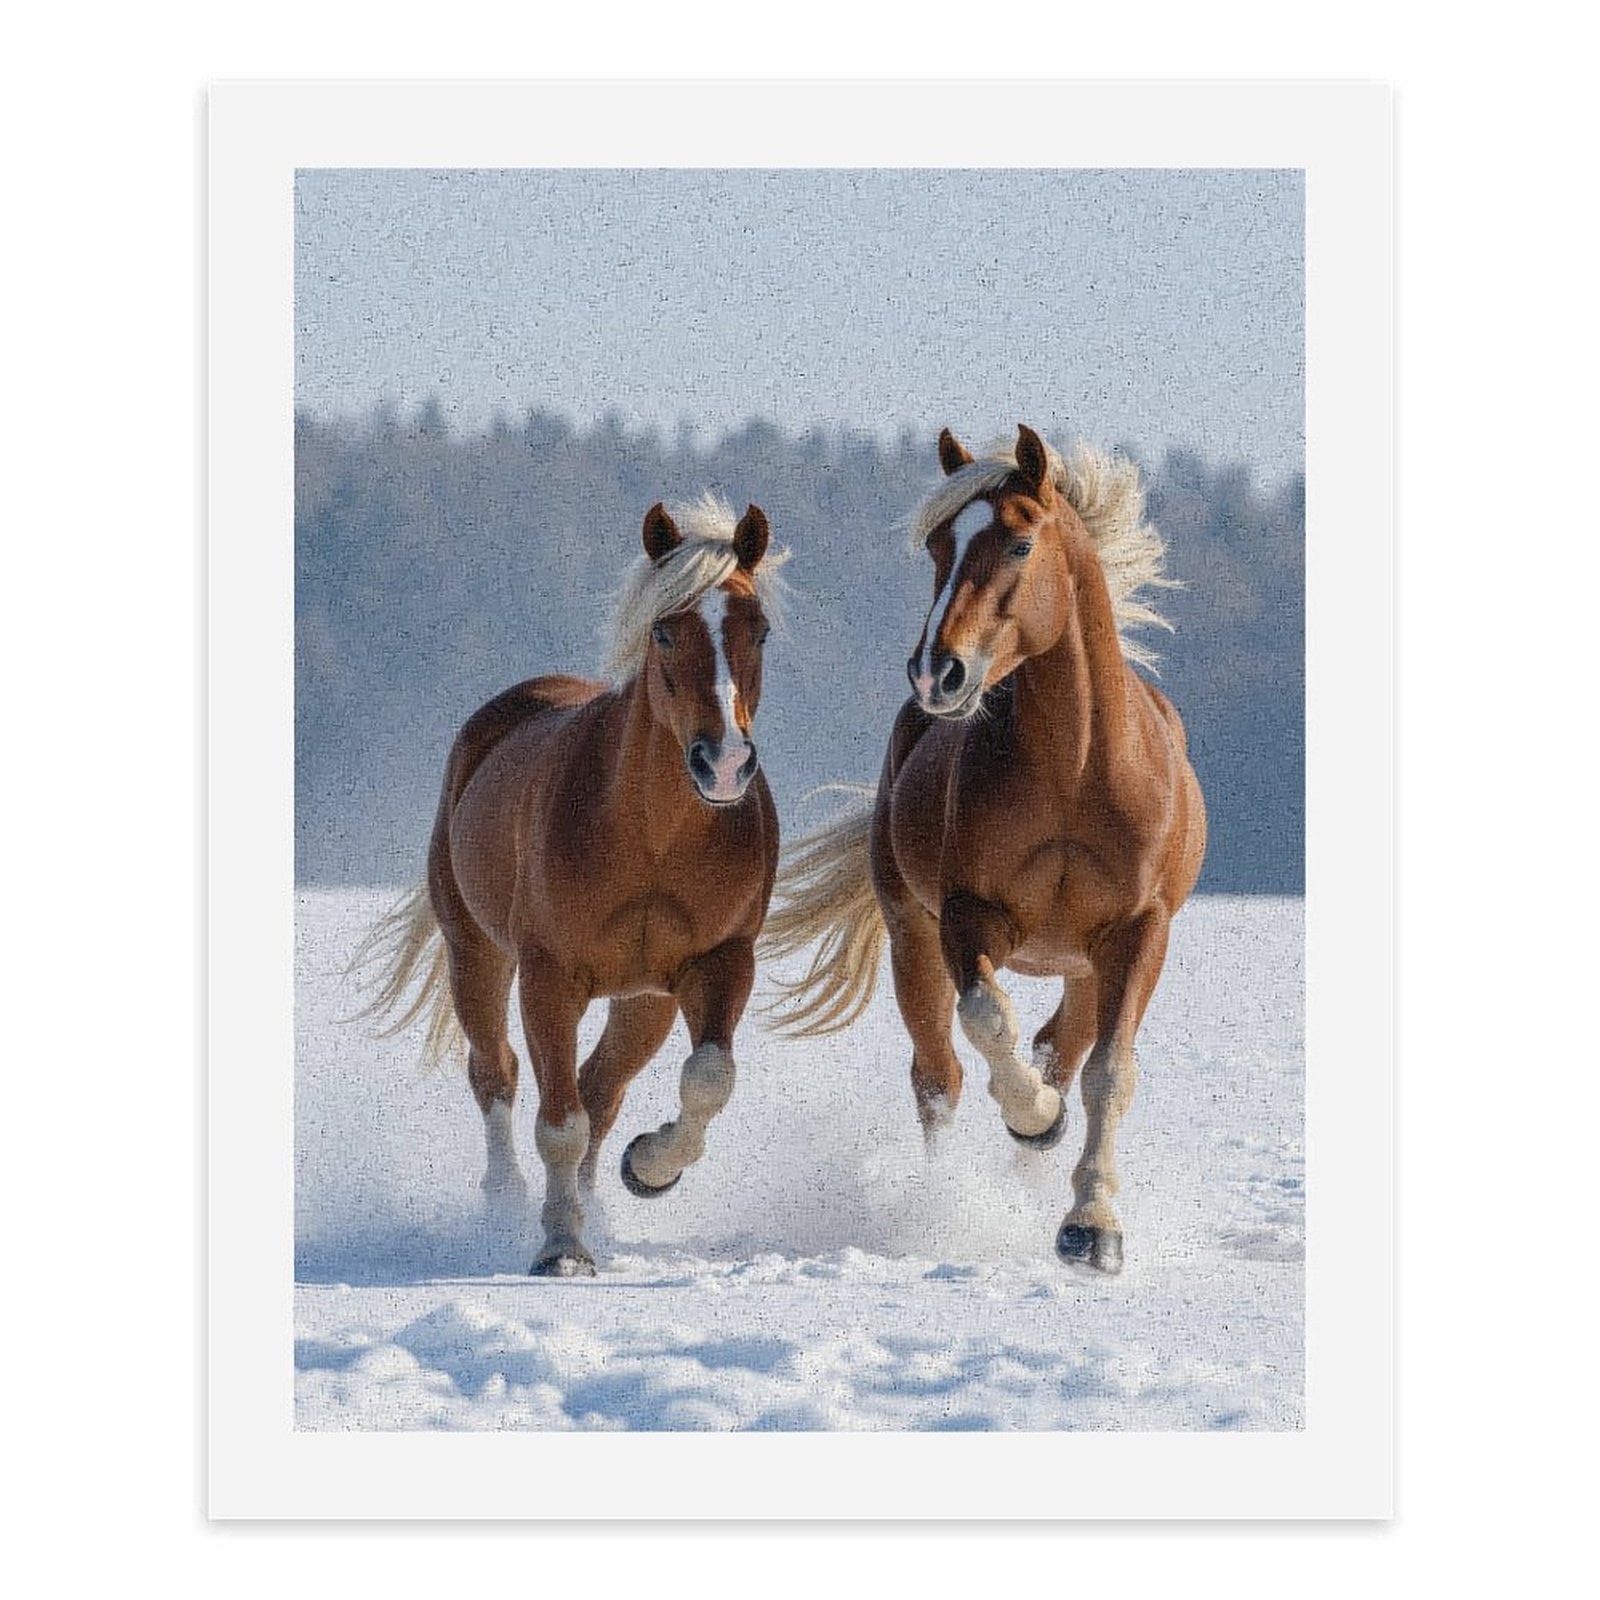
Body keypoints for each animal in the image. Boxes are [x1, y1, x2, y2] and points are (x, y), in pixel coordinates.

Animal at [354, 494, 785, 1276]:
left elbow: (707, 1079)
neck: (650, 835)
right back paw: (505, 1204)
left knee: (601, 1090)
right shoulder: (548, 976)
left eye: (758, 629)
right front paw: (560, 1247)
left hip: (643, 1001)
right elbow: (557, 1122)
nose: (724, 764)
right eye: (665, 632)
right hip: (477, 956)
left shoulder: (719, 963)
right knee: (496, 1072)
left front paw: (648, 1168)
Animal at [762, 425, 1205, 1273]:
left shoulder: (1140, 933)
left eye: (1020, 543)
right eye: (939, 544)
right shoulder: (967, 918)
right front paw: (1035, 1117)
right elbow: (986, 1020)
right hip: (912, 937)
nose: (937, 672)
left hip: (1081, 966)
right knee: (938, 1075)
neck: (1076, 768)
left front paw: (1091, 1226)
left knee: (1062, 1048)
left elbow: (1108, 1073)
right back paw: (947, 1200)